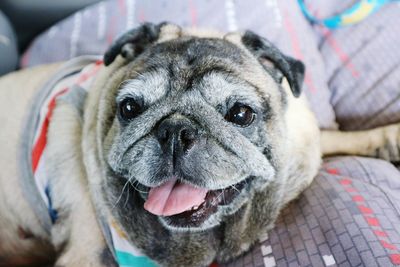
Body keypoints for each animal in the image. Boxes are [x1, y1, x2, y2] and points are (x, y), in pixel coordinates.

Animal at [0, 23, 400, 267]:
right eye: (129, 108)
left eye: (241, 114)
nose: (175, 131)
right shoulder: (85, 253)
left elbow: (335, 136)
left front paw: (387, 138)